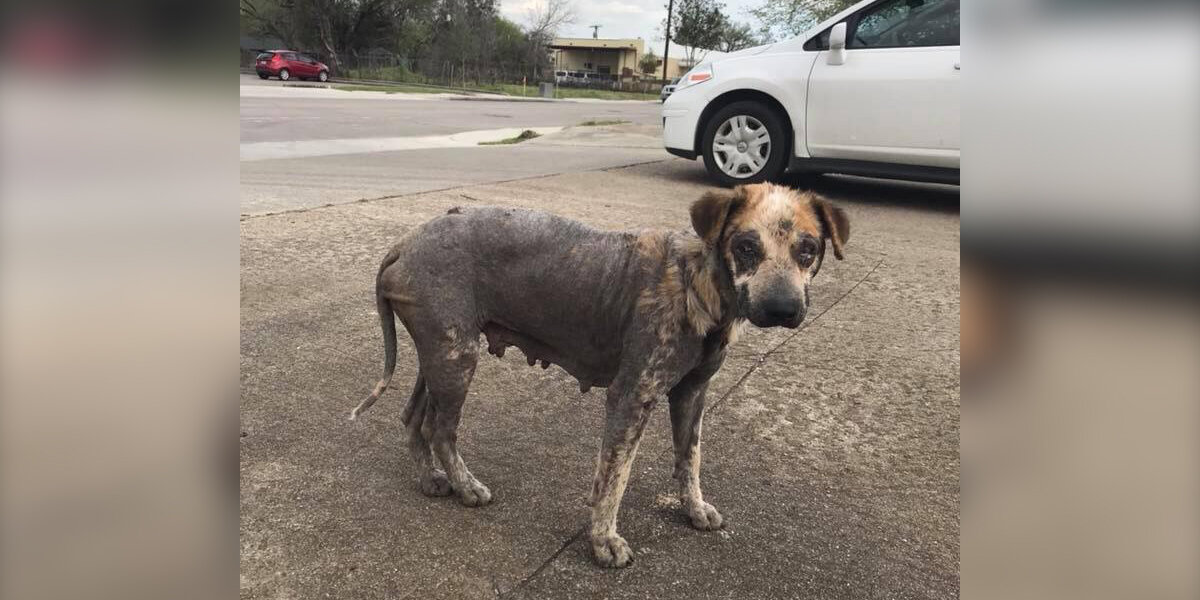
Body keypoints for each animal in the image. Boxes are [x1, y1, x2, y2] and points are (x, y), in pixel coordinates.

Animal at [350, 182, 849, 566]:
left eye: (809, 251)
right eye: (746, 248)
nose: (783, 309)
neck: (697, 281)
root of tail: (403, 243)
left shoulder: (692, 395)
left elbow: (690, 459)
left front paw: (693, 508)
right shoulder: (632, 396)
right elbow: (614, 478)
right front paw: (604, 541)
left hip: (439, 356)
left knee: (414, 418)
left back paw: (431, 479)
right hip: (457, 359)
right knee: (441, 430)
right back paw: (465, 485)